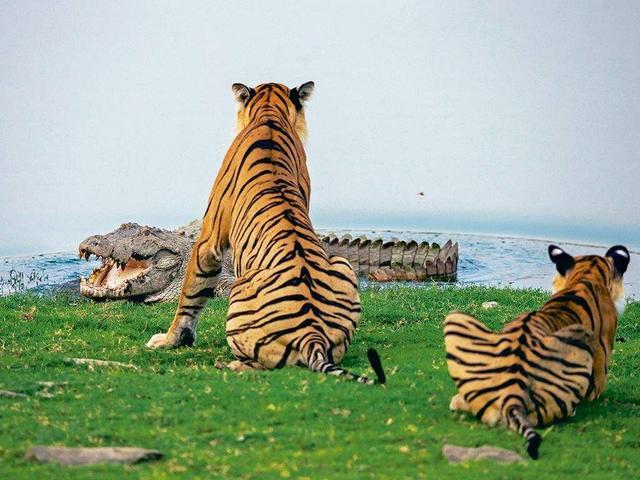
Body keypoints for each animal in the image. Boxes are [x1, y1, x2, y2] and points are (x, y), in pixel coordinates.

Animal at [146, 80, 384, 384]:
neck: (270, 112)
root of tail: (312, 336)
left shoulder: (208, 240)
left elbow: (191, 295)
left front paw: (170, 340)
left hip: (239, 290)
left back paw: (230, 364)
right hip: (342, 265)